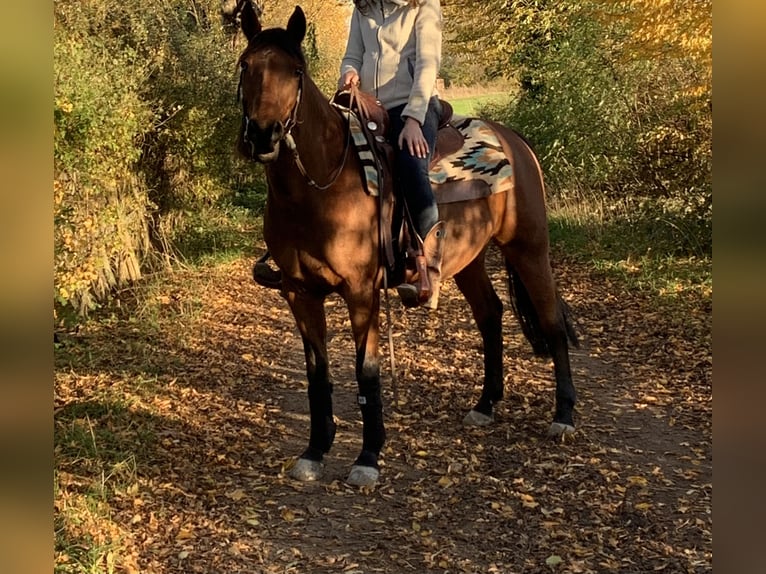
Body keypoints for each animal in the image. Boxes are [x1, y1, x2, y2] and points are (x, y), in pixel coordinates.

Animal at [235, 4, 579, 487]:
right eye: (246, 65)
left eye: (296, 71)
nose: (262, 136)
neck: (320, 187)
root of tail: (514, 141)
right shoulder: (299, 293)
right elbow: (317, 374)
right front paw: (315, 450)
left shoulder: (362, 293)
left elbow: (366, 372)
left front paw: (368, 458)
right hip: (469, 259)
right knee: (491, 315)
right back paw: (485, 405)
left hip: (529, 248)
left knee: (551, 322)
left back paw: (563, 416)